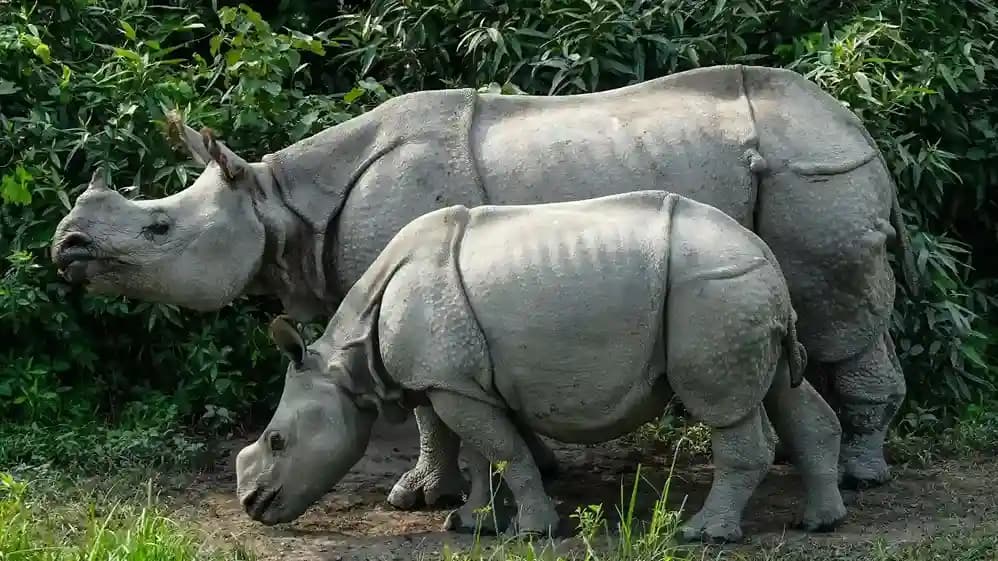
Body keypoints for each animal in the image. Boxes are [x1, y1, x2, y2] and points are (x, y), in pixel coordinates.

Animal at [234, 190, 848, 543]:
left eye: (277, 441)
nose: (250, 505)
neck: (345, 362)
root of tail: (763, 253)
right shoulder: (460, 382)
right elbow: (486, 456)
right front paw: (473, 524)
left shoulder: (452, 383)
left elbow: (506, 453)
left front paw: (532, 533)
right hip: (741, 290)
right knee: (784, 391)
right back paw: (822, 522)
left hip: (713, 291)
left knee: (725, 410)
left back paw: (704, 536)